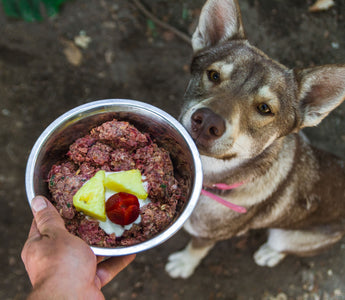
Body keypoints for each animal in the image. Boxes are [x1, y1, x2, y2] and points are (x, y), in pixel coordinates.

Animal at [165, 0, 344, 278]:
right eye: (213, 75)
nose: (207, 121)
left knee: (284, 246)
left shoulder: (207, 235)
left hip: (290, 236)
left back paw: (269, 253)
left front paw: (184, 264)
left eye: (264, 108)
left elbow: (197, 248)